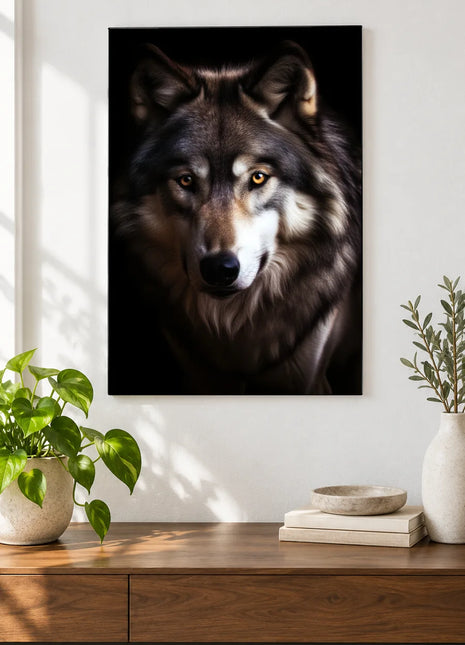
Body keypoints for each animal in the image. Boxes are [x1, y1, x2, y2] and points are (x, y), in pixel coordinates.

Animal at [110, 41, 362, 394]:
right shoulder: (199, 377)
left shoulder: (306, 379)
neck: (234, 327)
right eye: (186, 180)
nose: (219, 269)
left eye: (257, 177)